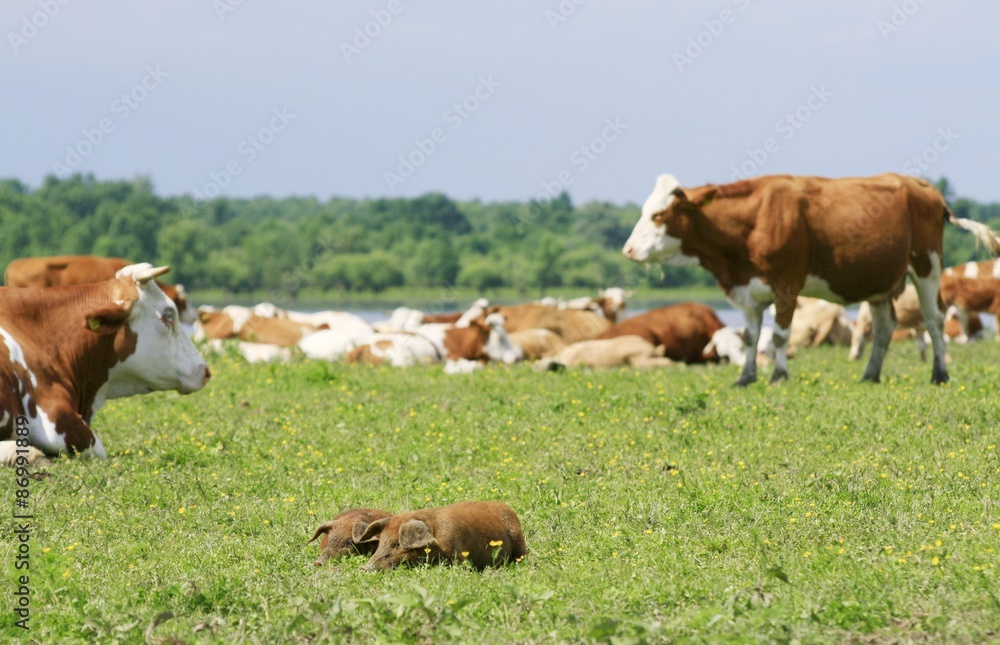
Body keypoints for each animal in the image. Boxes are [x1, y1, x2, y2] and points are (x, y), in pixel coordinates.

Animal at [624, 172, 1000, 382]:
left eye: (658, 215)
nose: (627, 250)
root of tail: (923, 187)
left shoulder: (786, 284)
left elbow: (778, 336)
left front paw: (778, 376)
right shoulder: (749, 290)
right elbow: (750, 336)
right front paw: (745, 378)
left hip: (927, 265)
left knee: (934, 319)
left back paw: (940, 374)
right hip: (880, 281)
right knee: (883, 329)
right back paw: (870, 375)